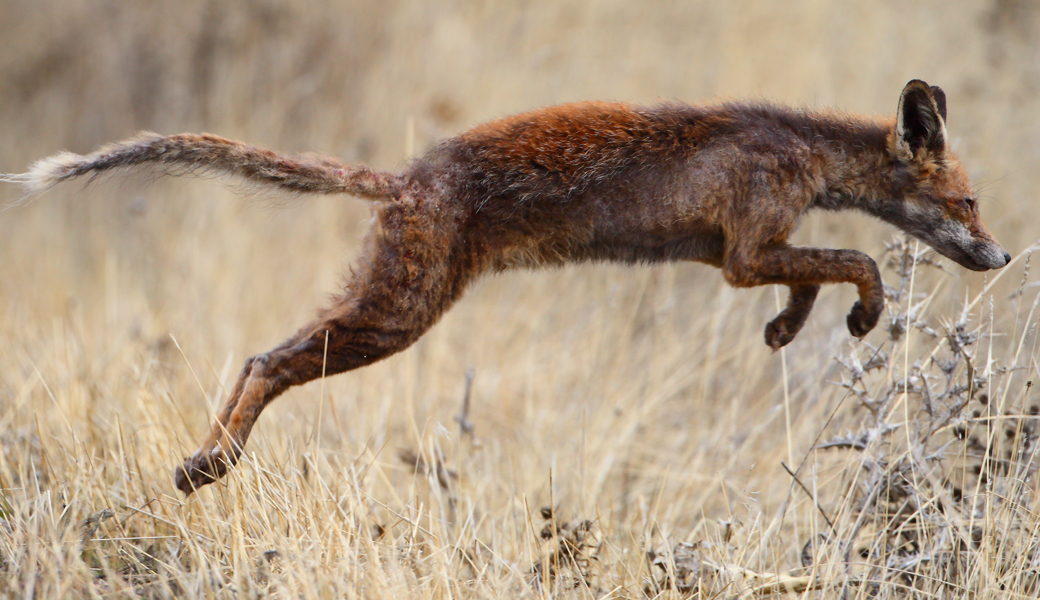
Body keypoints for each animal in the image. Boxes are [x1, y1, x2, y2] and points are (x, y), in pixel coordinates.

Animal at [0, 79, 1006, 490]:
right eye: (968, 201)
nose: (998, 259)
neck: (798, 152)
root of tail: (406, 177)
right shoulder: (743, 253)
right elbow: (858, 262)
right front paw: (863, 313)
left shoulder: (750, 254)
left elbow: (811, 278)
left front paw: (789, 332)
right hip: (396, 317)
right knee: (264, 361)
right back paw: (208, 466)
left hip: (390, 308)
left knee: (259, 359)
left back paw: (205, 461)